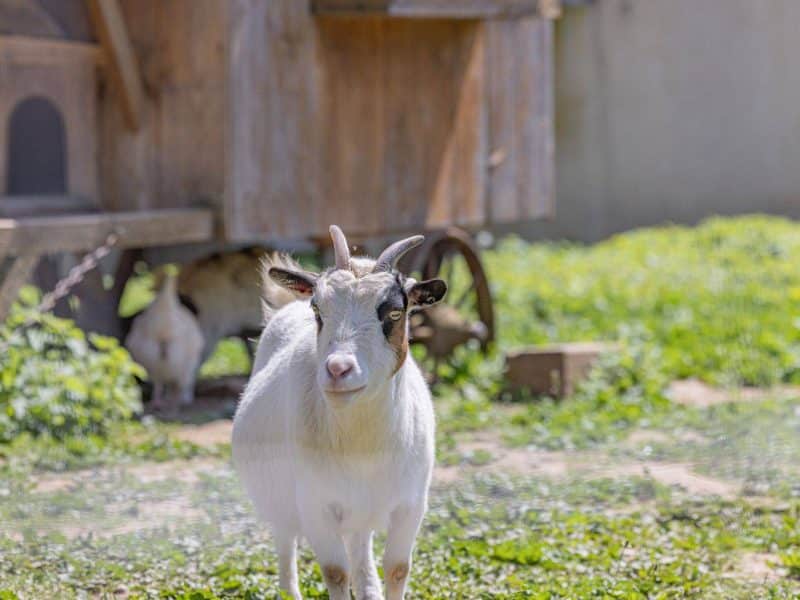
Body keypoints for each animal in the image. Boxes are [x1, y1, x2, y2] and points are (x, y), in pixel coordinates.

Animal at [232, 226, 446, 600]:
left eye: (395, 313)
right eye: (318, 309)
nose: (338, 369)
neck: (364, 445)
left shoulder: (411, 504)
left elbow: (397, 568)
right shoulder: (316, 505)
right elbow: (335, 572)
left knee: (359, 542)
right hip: (280, 499)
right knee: (285, 540)